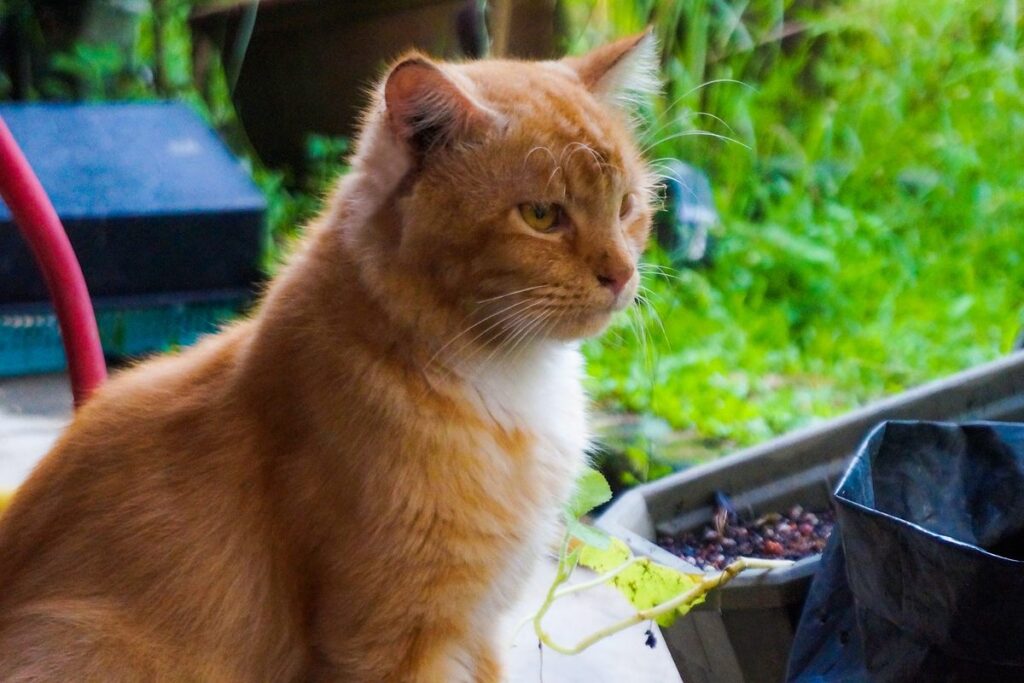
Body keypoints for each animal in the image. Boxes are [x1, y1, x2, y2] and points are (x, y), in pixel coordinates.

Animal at [0, 33, 655, 683]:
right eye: (542, 216)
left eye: (626, 206)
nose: (622, 275)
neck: (508, 378)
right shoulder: (391, 644)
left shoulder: (479, 629)